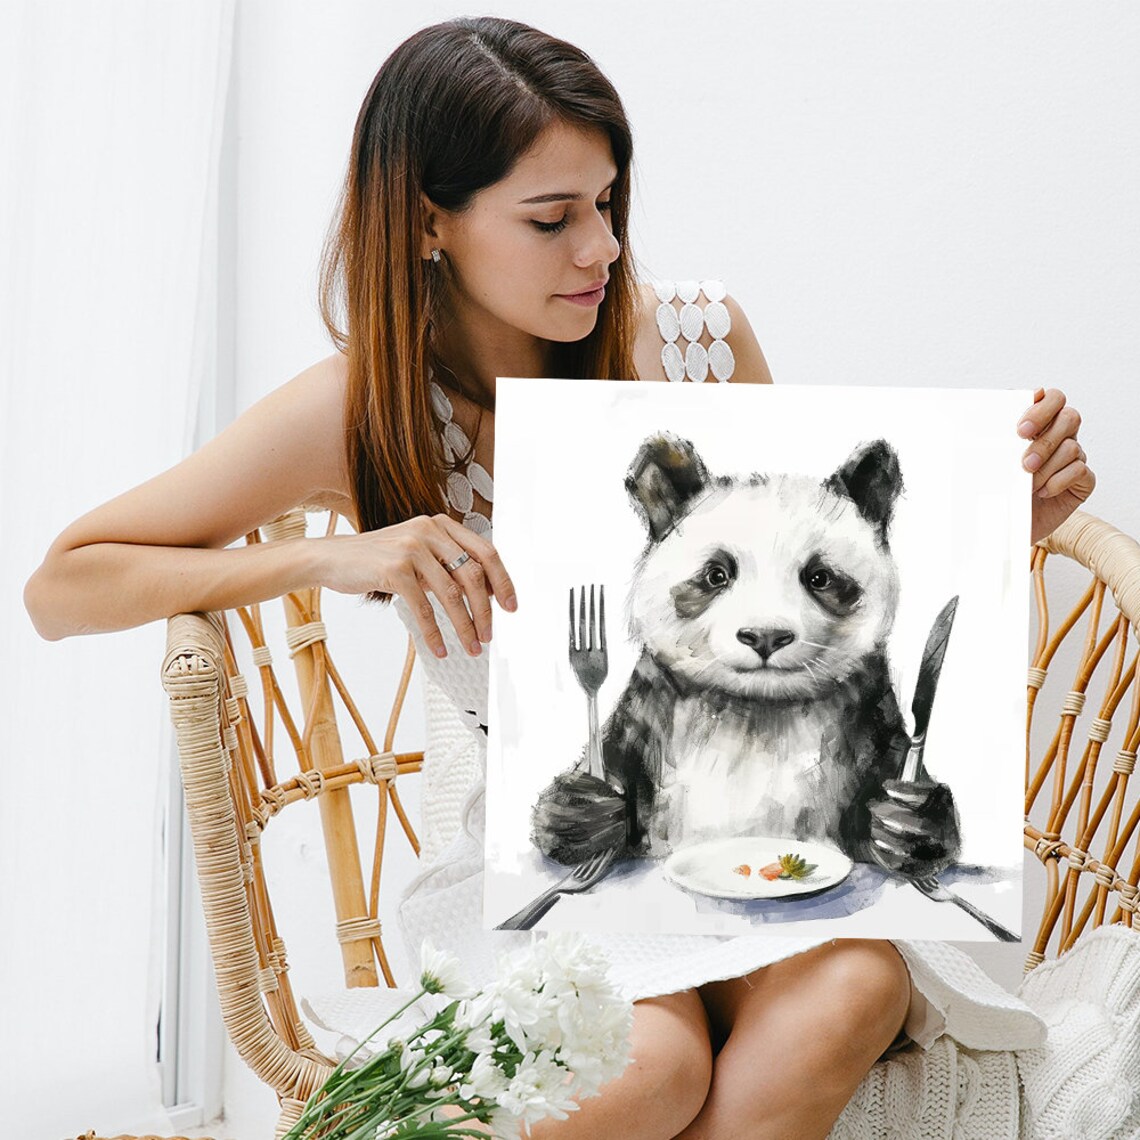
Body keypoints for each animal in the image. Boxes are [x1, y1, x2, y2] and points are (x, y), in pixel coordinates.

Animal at [532, 432, 961, 876]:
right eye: (716, 574)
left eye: (819, 577)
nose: (765, 636)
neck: (758, 710)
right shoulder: (649, 715)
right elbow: (609, 765)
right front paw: (584, 813)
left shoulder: (867, 719)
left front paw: (904, 821)